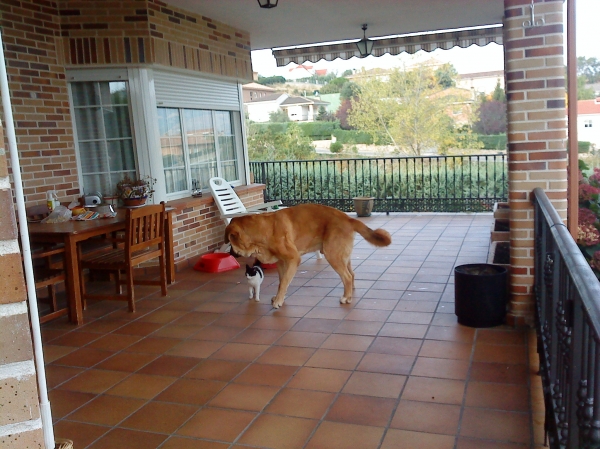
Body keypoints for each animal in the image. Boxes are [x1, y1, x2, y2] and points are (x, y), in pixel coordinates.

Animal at [223, 203, 392, 308]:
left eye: (230, 242)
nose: (230, 253)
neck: (261, 231)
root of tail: (348, 218)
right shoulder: (281, 263)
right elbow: (281, 282)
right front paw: (279, 297)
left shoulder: (293, 259)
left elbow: (284, 282)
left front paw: (278, 301)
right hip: (342, 256)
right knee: (352, 274)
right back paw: (350, 293)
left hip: (333, 255)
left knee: (347, 276)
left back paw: (346, 297)